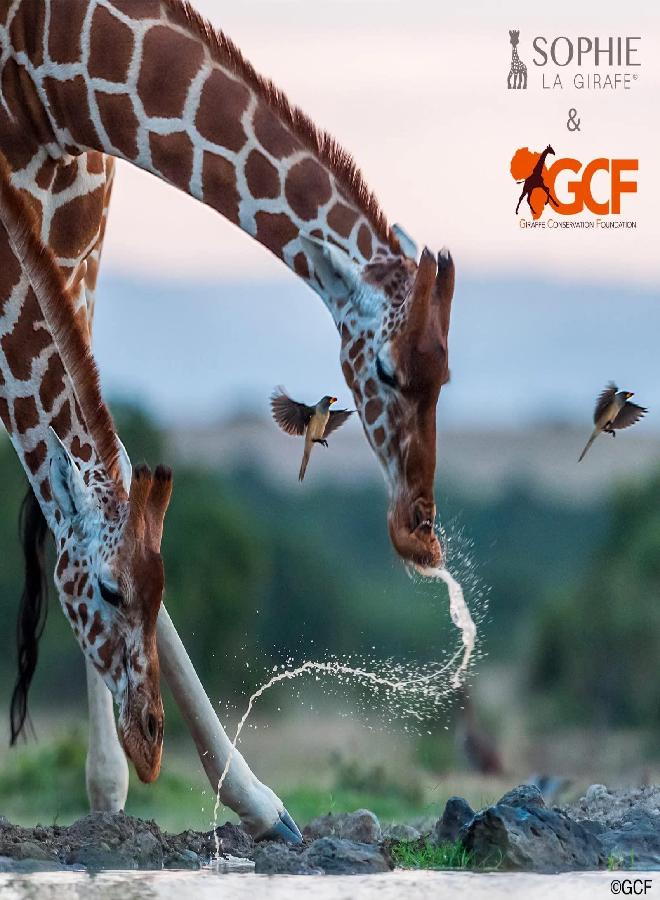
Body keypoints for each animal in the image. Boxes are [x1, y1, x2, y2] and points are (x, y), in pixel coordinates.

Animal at [0, 0, 455, 840]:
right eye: (384, 372)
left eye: (446, 375)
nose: (419, 534)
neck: (54, 54)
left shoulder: (73, 222)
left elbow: (100, 456)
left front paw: (234, 802)